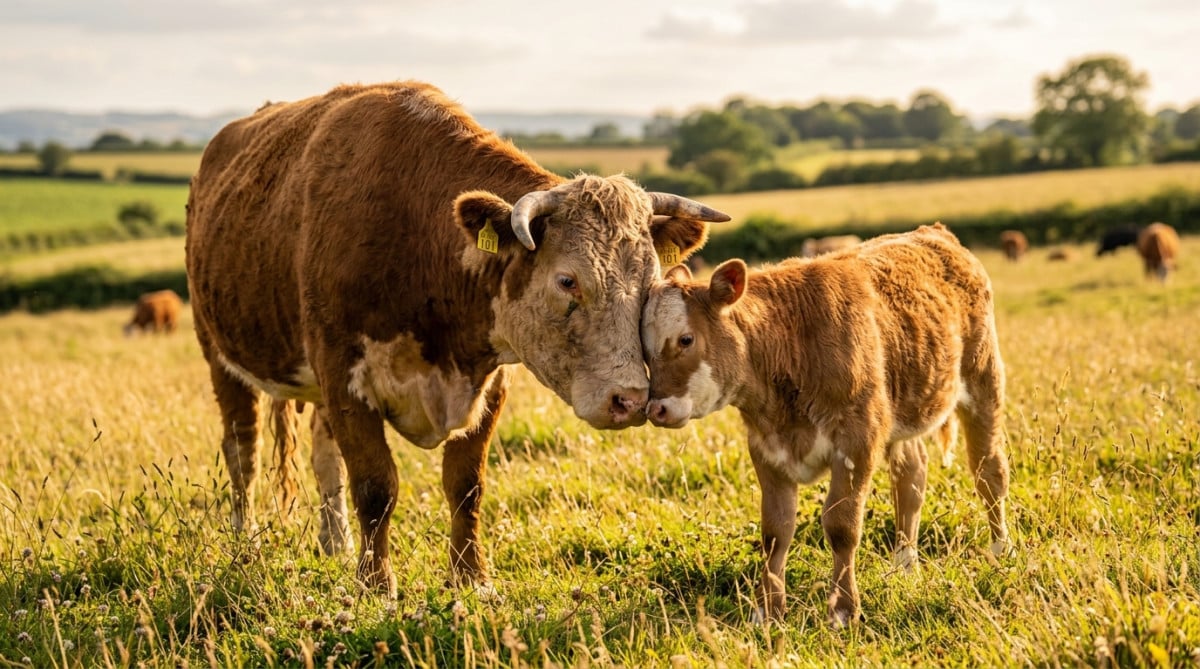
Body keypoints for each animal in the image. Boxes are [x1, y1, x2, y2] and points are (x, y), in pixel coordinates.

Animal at [185, 81, 730, 596]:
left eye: (649, 281)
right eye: (567, 281)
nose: (630, 399)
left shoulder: (487, 383)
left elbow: (465, 485)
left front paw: (472, 578)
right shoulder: (345, 378)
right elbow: (375, 486)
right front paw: (375, 584)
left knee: (322, 457)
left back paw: (334, 543)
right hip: (220, 356)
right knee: (243, 453)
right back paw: (246, 543)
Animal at [641, 223, 1010, 625]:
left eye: (686, 339)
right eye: (644, 349)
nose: (656, 408)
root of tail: (935, 233)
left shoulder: (857, 443)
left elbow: (841, 526)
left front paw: (843, 609)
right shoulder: (766, 449)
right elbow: (775, 532)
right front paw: (767, 611)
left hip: (983, 381)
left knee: (989, 473)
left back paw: (1001, 550)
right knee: (911, 478)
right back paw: (904, 565)